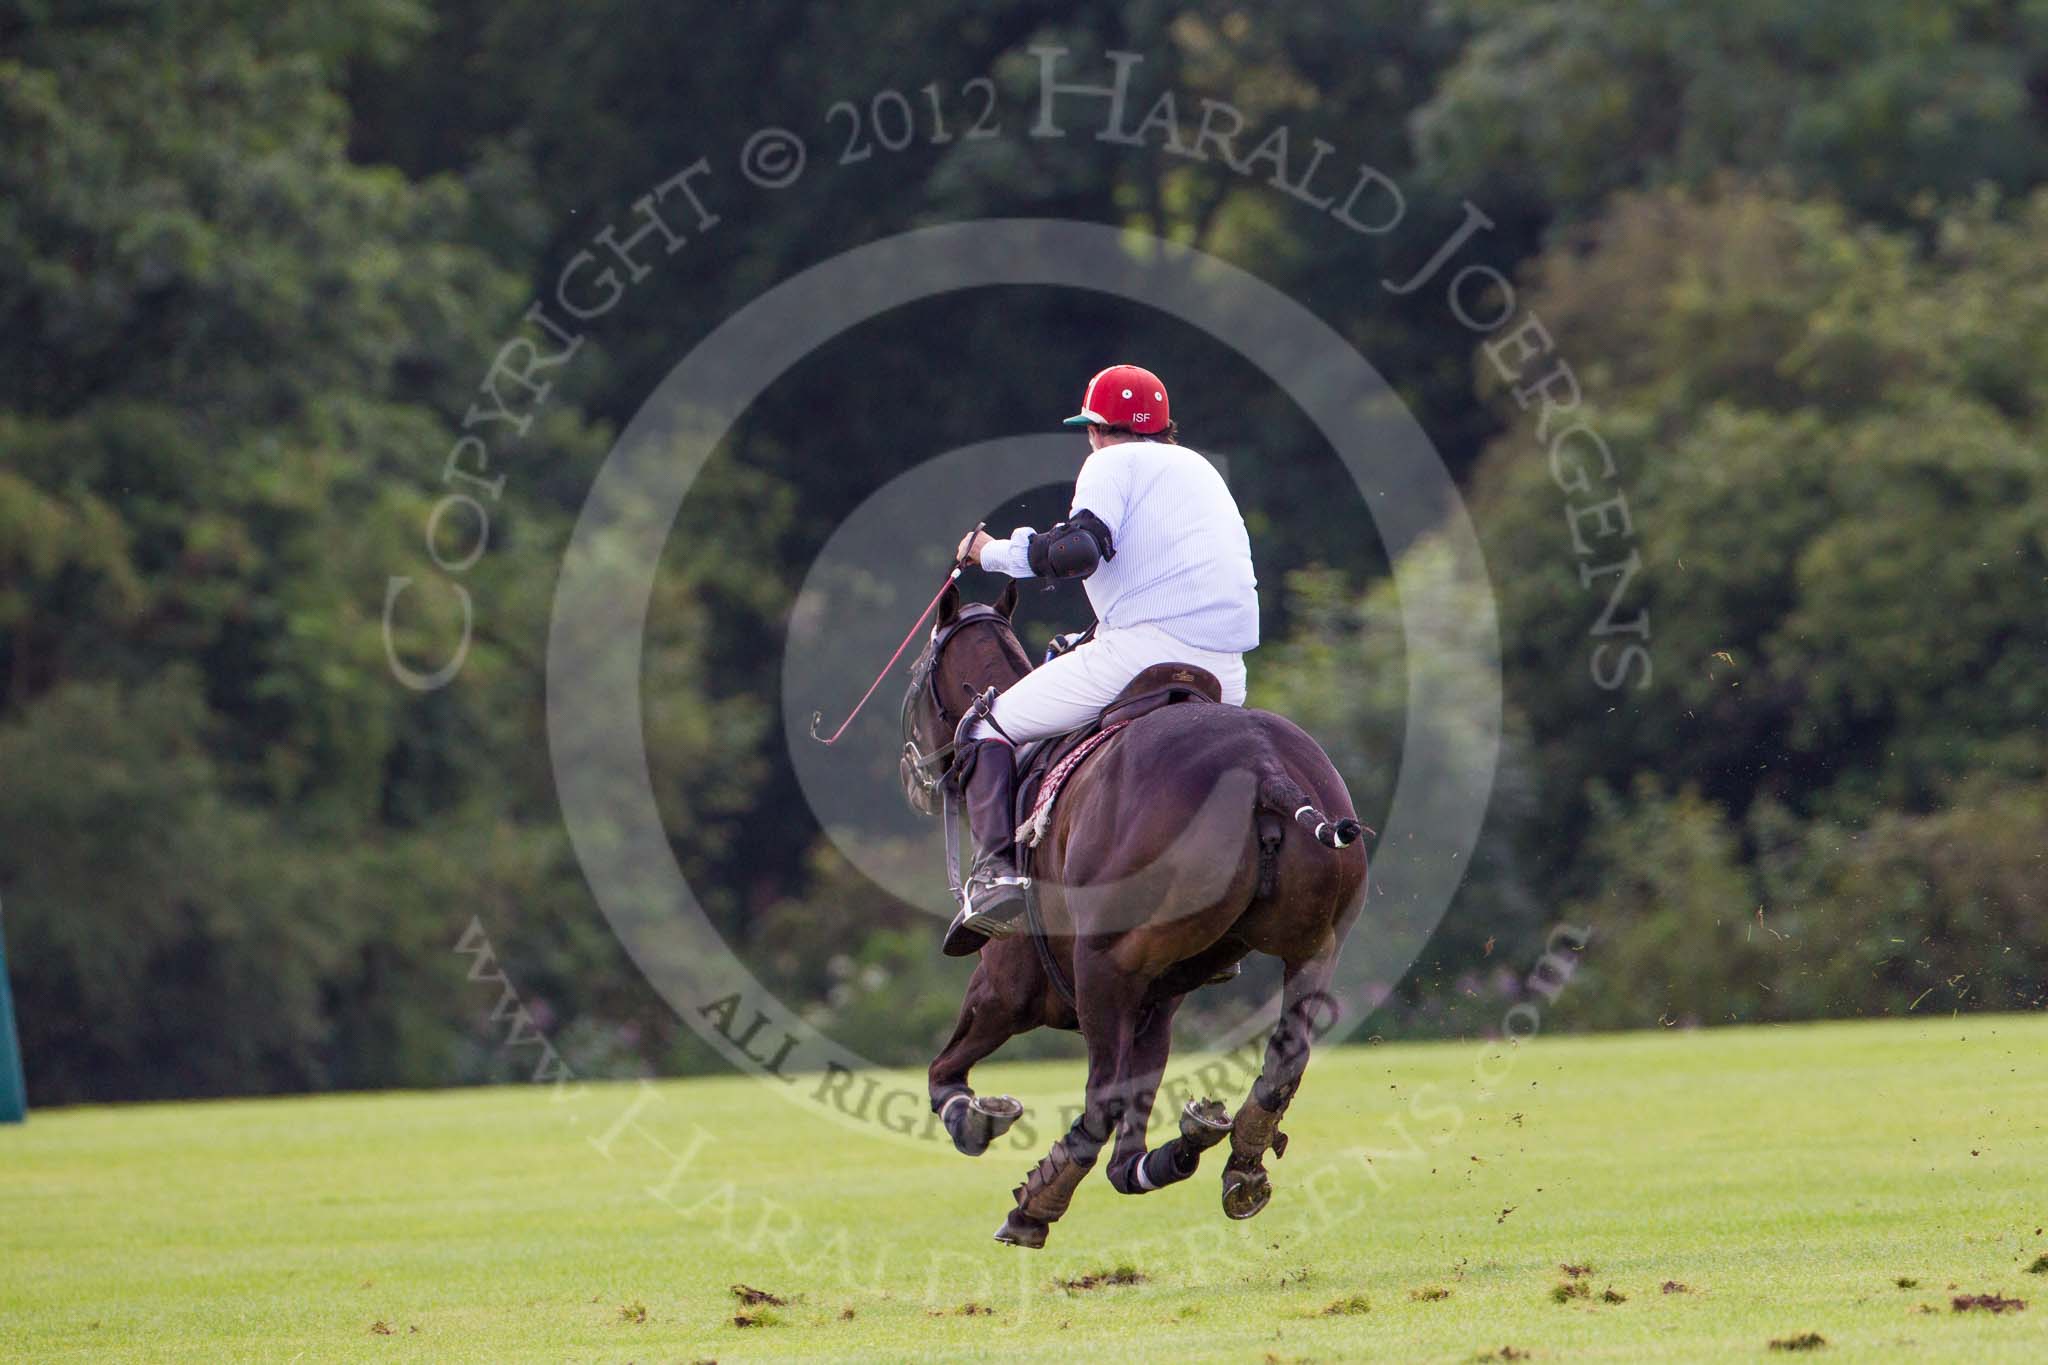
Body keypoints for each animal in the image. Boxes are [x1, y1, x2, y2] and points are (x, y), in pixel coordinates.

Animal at [905, 585, 1368, 1252]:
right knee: (1285, 1061)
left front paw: (976, 1119)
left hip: (1101, 966)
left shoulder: (1004, 989)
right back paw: (1237, 1160)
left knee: (1098, 1102)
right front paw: (1187, 1141)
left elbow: (945, 1075)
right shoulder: (1156, 1005)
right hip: (1314, 946)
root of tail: (1265, 769)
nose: (914, 773)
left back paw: (1036, 1206)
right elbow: (1129, 1156)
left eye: (918, 675)